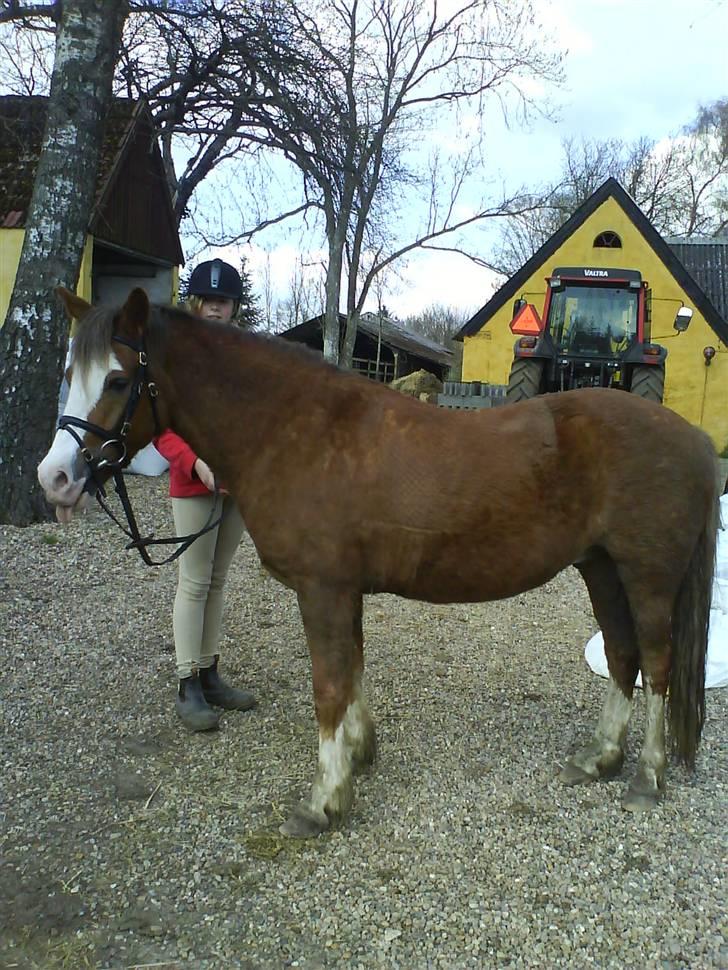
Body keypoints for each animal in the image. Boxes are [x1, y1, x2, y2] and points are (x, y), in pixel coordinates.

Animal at [38, 286, 719, 838]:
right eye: (69, 372)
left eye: (118, 381)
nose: (55, 478)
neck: (295, 429)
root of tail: (692, 437)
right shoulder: (344, 591)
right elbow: (354, 672)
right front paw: (358, 757)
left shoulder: (323, 589)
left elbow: (329, 686)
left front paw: (323, 801)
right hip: (601, 568)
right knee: (624, 657)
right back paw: (600, 758)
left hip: (646, 577)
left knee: (656, 665)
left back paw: (646, 779)